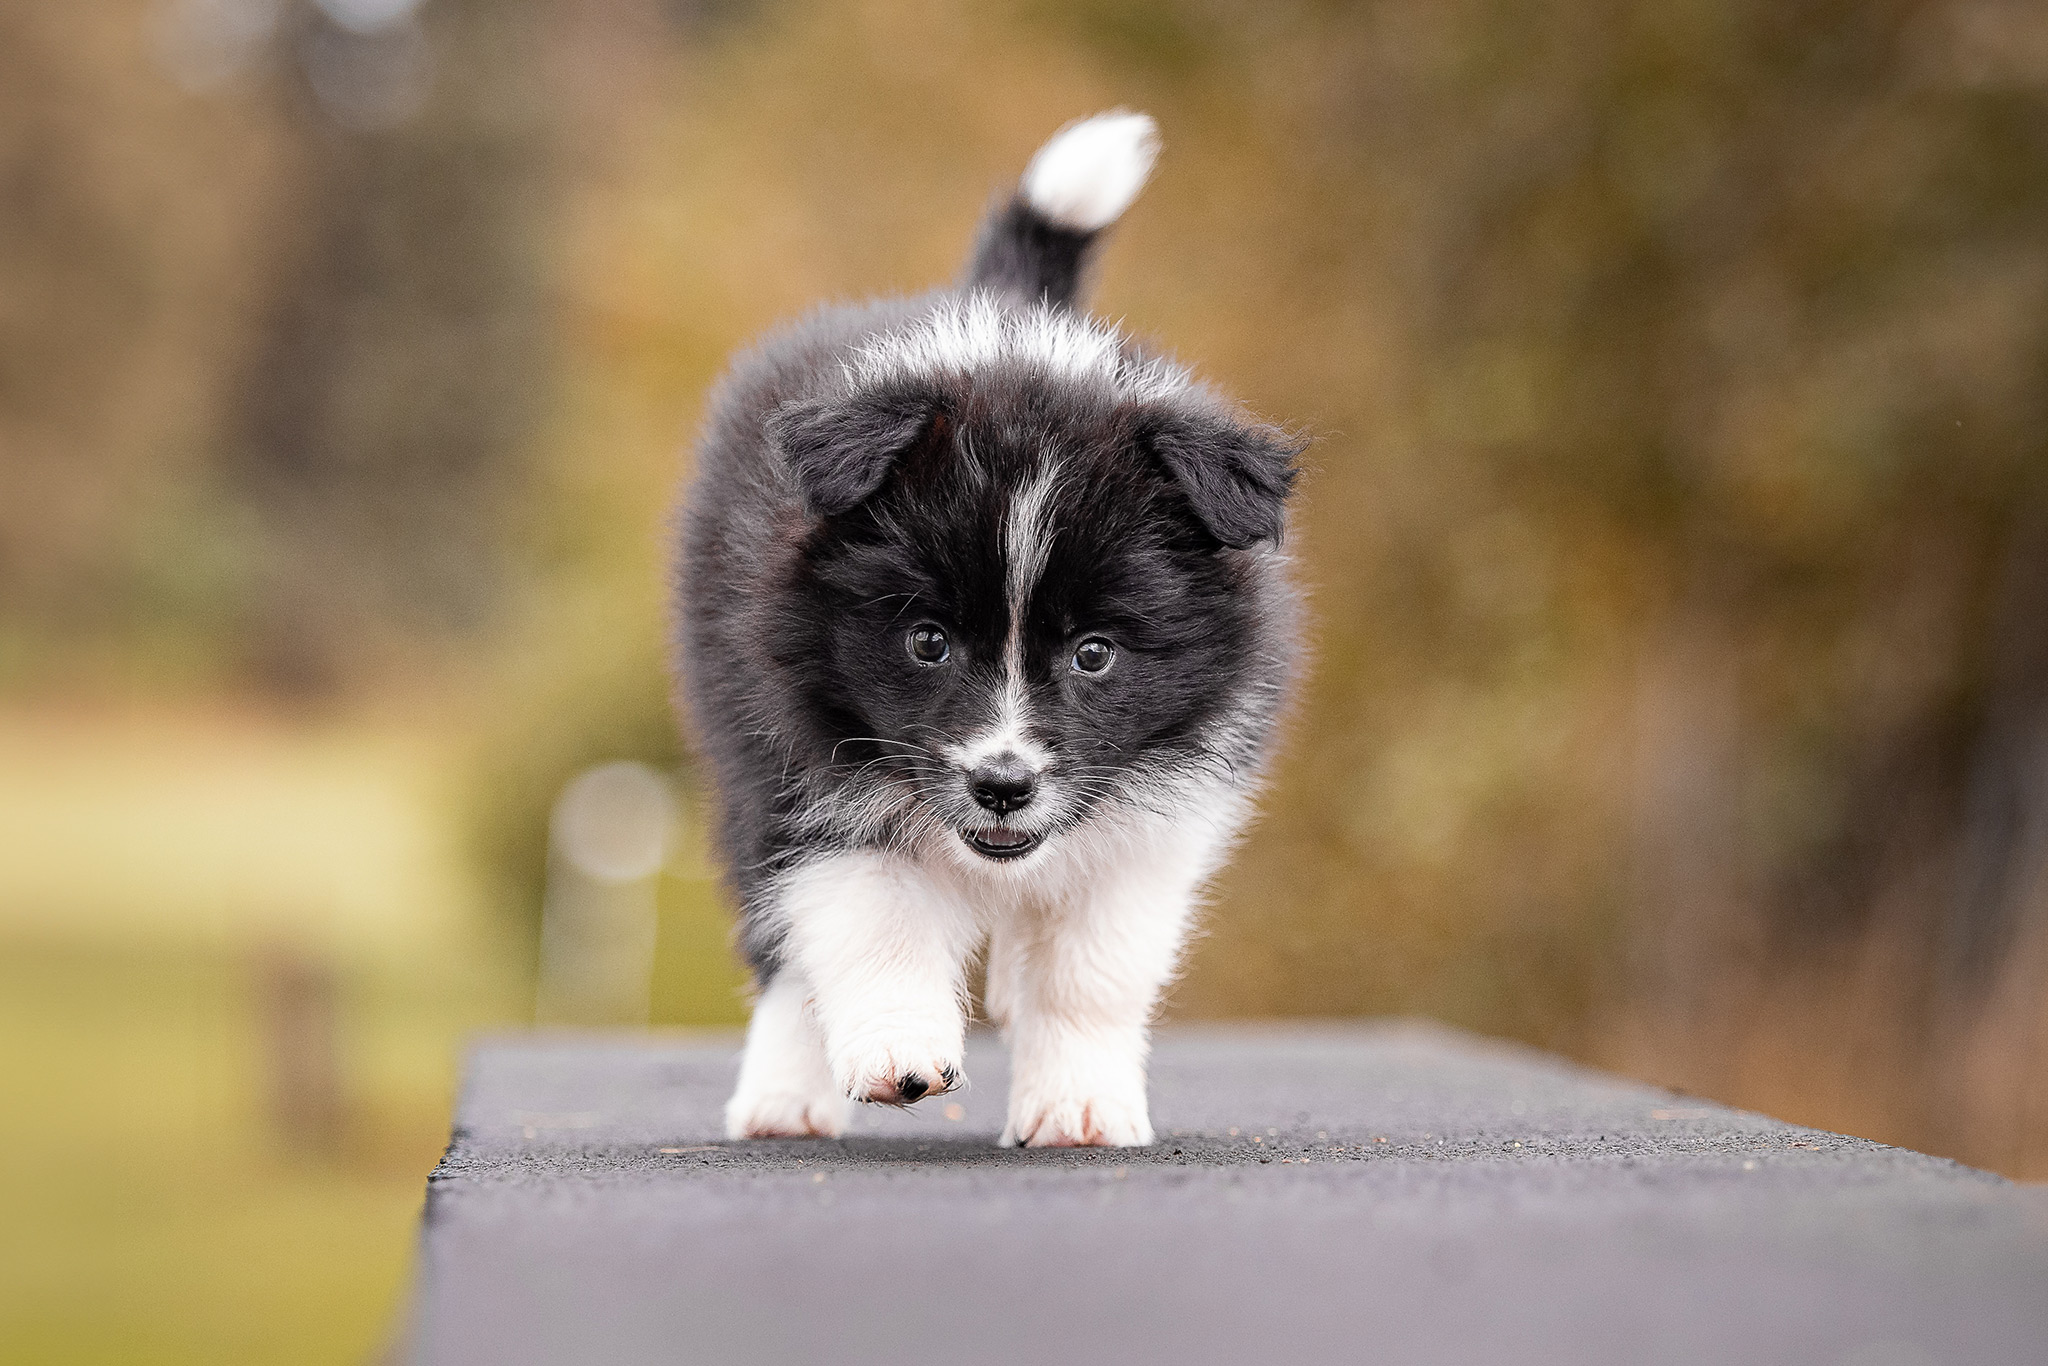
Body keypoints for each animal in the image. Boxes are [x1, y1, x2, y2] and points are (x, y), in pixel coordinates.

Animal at [679, 112, 1302, 1146]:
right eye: (928, 640)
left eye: (1095, 654)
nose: (1003, 787)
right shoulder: (806, 760)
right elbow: (868, 911)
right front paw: (898, 1047)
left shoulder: (1161, 813)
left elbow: (1091, 968)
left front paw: (1079, 1102)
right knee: (782, 940)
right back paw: (785, 1094)